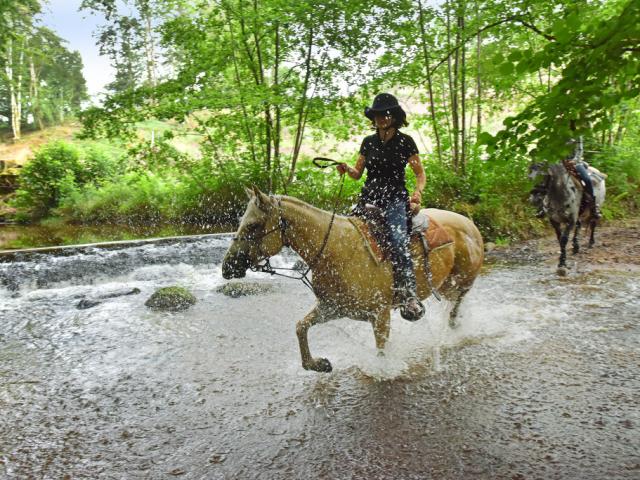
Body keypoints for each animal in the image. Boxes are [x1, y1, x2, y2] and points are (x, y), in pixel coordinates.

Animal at [222, 187, 482, 372]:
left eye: (253, 225)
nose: (227, 267)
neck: (336, 250)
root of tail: (470, 223)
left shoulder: (380, 315)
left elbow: (381, 351)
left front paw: (383, 371)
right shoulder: (333, 308)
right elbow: (300, 327)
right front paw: (318, 364)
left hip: (461, 282)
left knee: (457, 305)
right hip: (446, 285)